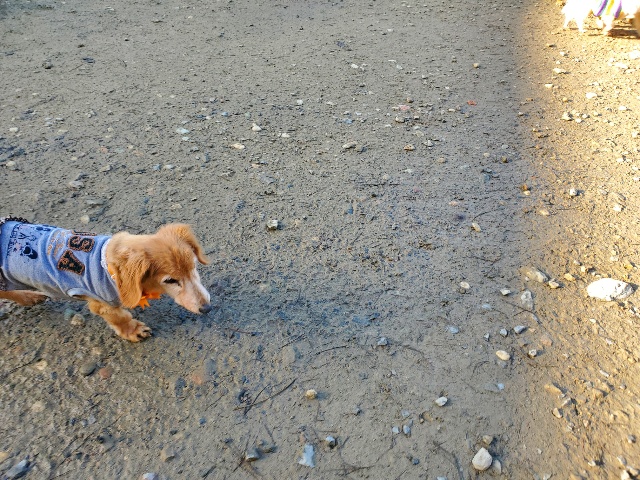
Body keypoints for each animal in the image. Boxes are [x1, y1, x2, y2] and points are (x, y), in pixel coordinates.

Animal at [0, 217, 211, 341]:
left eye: (193, 266)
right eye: (170, 281)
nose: (207, 308)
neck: (111, 271)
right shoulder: (102, 303)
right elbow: (120, 318)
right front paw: (133, 330)